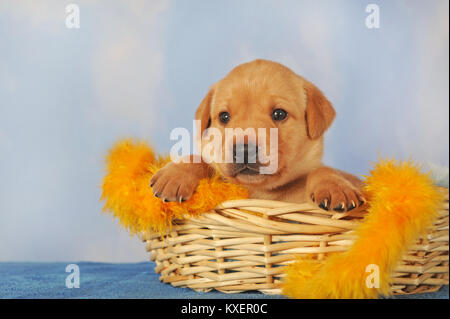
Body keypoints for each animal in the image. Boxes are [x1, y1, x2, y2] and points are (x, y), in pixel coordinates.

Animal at [151, 60, 366, 212]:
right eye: (224, 116)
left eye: (279, 114)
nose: (244, 151)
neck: (261, 192)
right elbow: (201, 160)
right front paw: (175, 174)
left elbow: (322, 170)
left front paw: (335, 187)